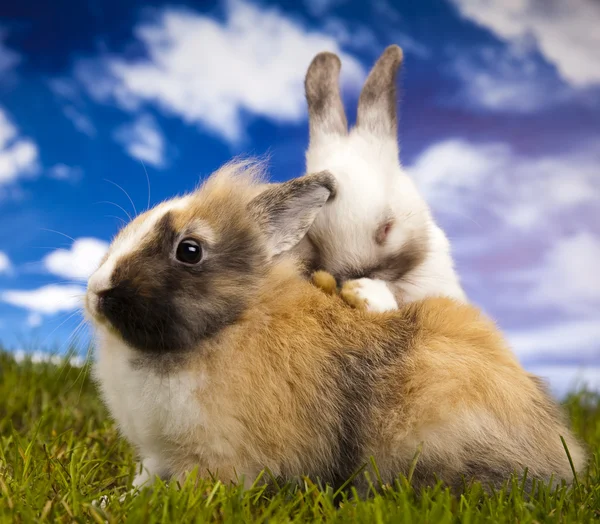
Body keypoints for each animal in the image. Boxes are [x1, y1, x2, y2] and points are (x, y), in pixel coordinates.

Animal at [85, 162, 584, 494]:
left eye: (189, 251)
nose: (96, 291)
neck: (232, 324)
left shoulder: (217, 457)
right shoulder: (156, 456)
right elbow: (144, 480)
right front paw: (117, 500)